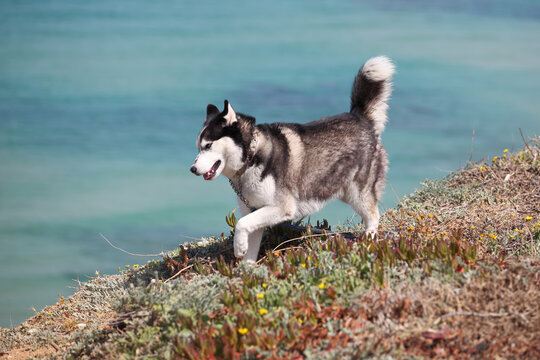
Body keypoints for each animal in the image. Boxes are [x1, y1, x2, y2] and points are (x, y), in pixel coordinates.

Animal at [192, 57, 394, 264]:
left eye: (208, 145)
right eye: (198, 146)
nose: (193, 168)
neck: (251, 158)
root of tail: (359, 116)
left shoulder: (282, 208)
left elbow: (240, 224)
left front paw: (238, 247)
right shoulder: (253, 210)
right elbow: (247, 236)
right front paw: (246, 266)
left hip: (358, 194)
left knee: (373, 216)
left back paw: (368, 241)